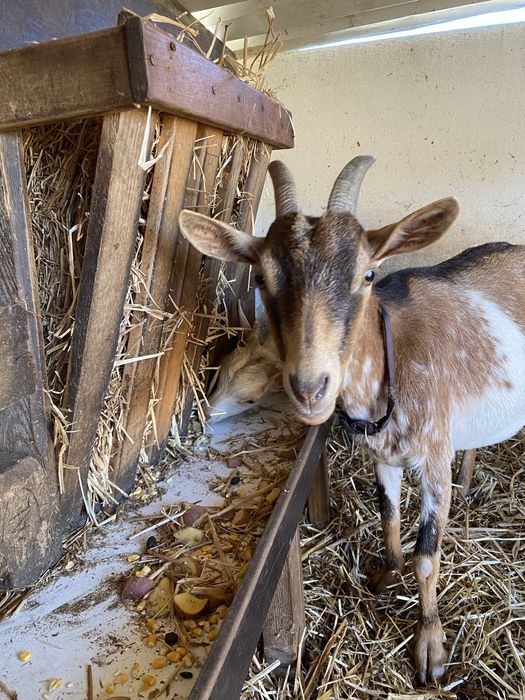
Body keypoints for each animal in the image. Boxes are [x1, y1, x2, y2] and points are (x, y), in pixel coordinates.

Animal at [178, 157, 525, 685]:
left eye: (367, 273)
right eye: (260, 279)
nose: (310, 388)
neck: (392, 358)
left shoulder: (433, 454)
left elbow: (428, 558)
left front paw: (430, 647)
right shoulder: (383, 454)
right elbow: (387, 517)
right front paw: (385, 575)